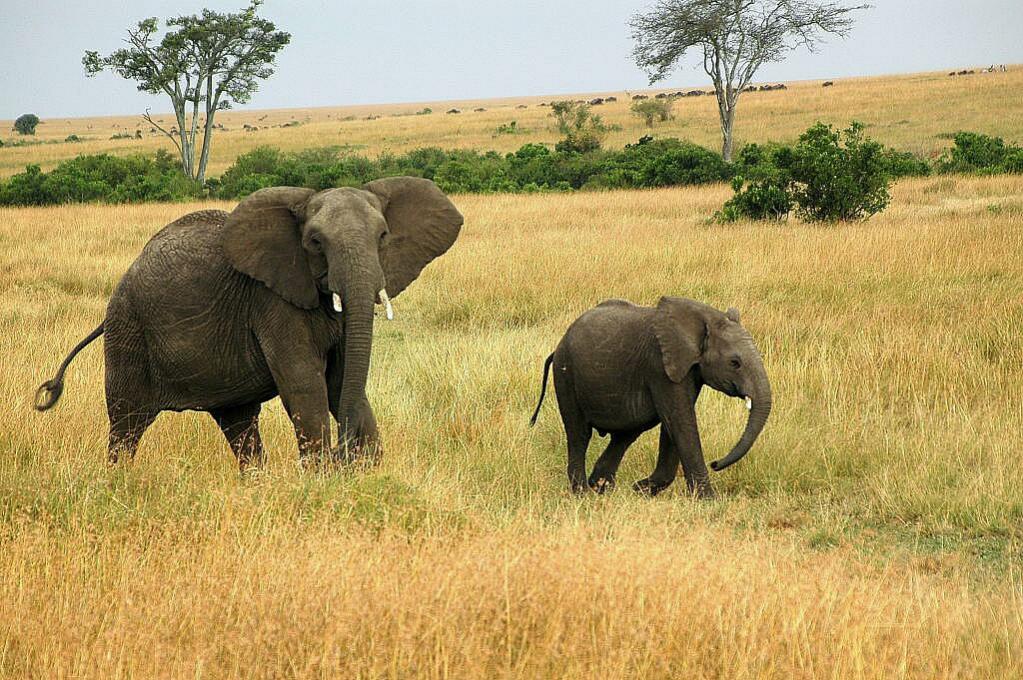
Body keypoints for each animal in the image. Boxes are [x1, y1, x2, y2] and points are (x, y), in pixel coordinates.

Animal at [35, 178, 463, 468]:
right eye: (315, 243)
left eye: (384, 235)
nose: (343, 453)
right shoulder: (270, 300)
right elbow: (306, 384)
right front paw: (325, 477)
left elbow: (342, 381)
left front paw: (366, 472)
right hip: (128, 330)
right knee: (127, 423)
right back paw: (119, 482)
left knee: (239, 425)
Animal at [529, 297, 772, 498]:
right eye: (734, 363)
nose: (715, 463)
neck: (705, 317)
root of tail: (558, 346)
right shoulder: (659, 366)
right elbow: (680, 421)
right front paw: (708, 500)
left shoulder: (686, 370)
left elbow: (674, 424)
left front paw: (640, 489)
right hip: (566, 374)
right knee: (579, 433)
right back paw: (583, 494)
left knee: (626, 434)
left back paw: (601, 487)